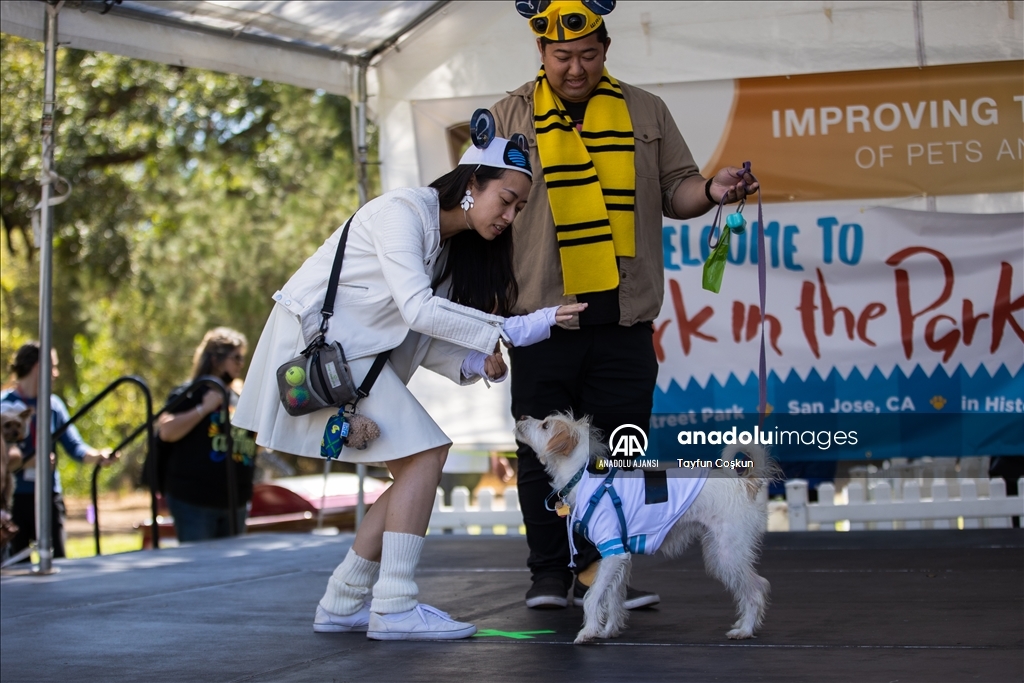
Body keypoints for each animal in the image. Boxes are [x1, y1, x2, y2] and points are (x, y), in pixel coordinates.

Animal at [516, 411, 778, 647]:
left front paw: (588, 632)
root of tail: (744, 483)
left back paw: (745, 630)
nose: (521, 418)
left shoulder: (613, 551)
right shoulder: (619, 556)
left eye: (545, 425)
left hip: (728, 553)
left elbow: (594, 597)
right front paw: (609, 630)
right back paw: (743, 625)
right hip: (720, 552)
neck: (583, 478)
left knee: (756, 588)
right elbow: (613, 597)